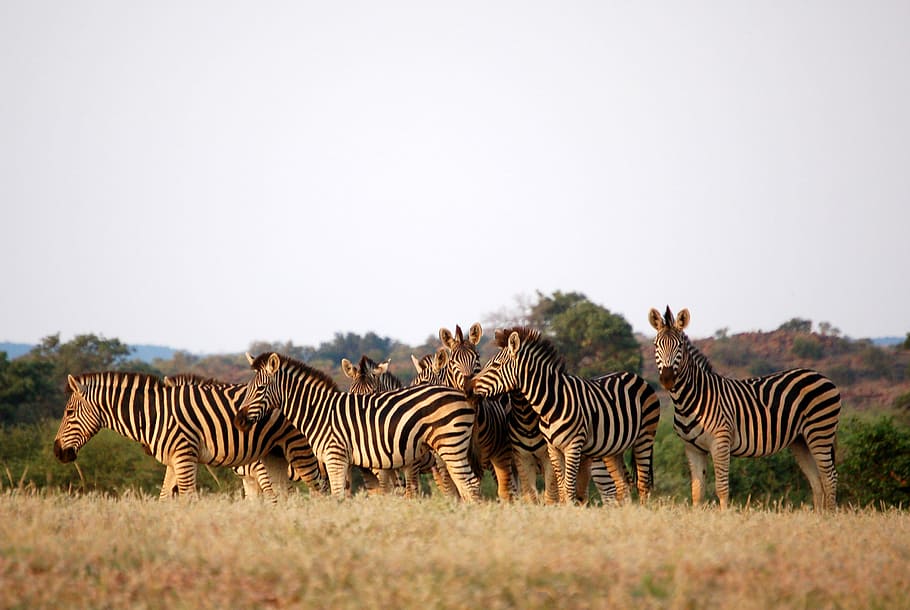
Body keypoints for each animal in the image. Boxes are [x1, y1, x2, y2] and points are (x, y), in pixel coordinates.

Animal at [53, 371, 325, 501]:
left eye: (68, 413)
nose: (57, 451)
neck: (157, 414)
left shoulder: (185, 457)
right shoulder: (176, 461)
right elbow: (164, 497)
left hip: (300, 450)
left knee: (320, 486)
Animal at [234, 352, 482, 502]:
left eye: (260, 389)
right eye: (248, 388)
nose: (239, 421)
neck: (319, 411)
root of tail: (461, 395)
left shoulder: (336, 458)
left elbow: (338, 497)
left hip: (449, 446)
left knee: (469, 484)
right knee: (464, 484)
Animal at [466, 327, 661, 505]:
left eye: (496, 365)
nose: (468, 388)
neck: (550, 404)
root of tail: (635, 376)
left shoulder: (572, 446)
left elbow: (567, 488)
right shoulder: (552, 449)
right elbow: (559, 488)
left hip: (644, 437)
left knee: (642, 484)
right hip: (613, 448)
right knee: (623, 485)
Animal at [648, 306, 841, 510]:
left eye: (679, 346)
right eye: (656, 346)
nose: (667, 379)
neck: (689, 401)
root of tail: (822, 376)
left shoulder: (721, 443)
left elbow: (722, 488)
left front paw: (724, 516)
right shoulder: (693, 448)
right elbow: (697, 492)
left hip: (820, 432)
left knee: (829, 477)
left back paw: (828, 516)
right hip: (801, 440)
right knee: (816, 480)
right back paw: (817, 515)